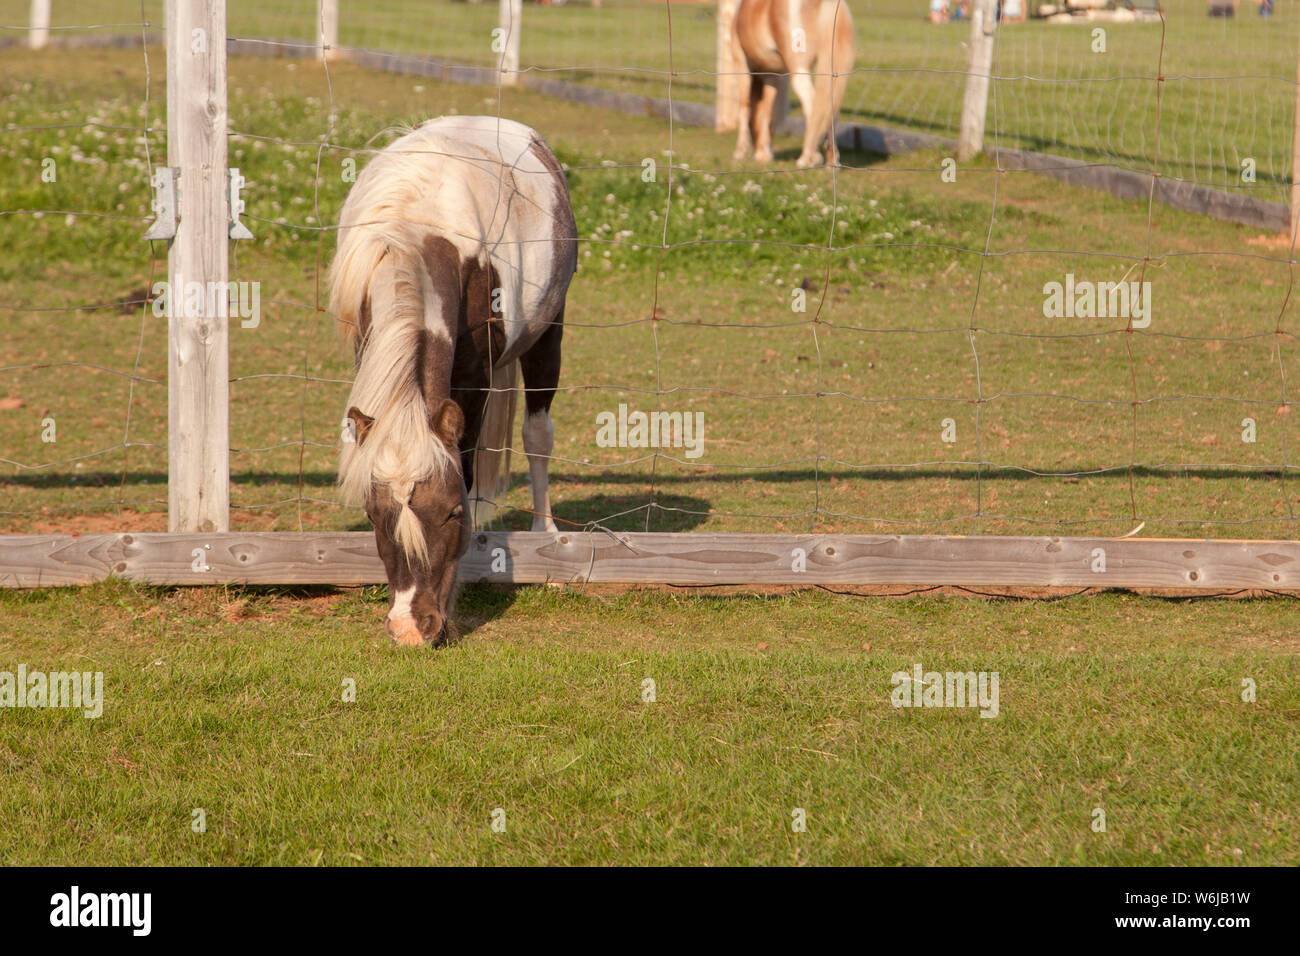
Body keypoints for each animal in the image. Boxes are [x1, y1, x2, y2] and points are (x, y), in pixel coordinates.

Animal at [329, 116, 577, 647]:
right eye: (375, 517)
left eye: (452, 513)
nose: (411, 627)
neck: (417, 231)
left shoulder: (475, 374)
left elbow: (469, 461)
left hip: (549, 330)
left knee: (536, 435)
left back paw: (544, 533)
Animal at [732, 0, 856, 168]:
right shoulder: (773, 74)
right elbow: (768, 110)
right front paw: (764, 153)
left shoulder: (742, 65)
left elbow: (745, 108)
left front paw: (742, 151)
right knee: (830, 109)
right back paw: (832, 159)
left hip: (798, 70)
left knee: (813, 105)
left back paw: (808, 157)